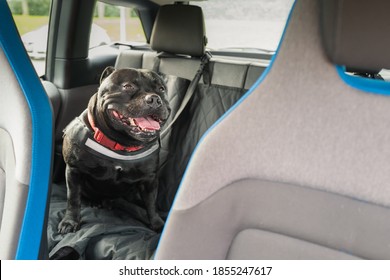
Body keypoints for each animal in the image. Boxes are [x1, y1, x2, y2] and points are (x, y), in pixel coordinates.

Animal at [58, 66, 171, 234]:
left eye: (161, 89)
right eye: (128, 86)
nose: (155, 99)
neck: (121, 143)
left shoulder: (149, 179)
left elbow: (151, 203)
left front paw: (157, 223)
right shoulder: (74, 170)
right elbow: (73, 199)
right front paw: (70, 221)